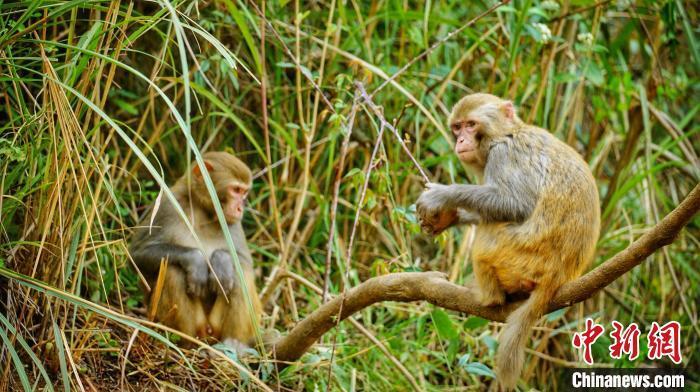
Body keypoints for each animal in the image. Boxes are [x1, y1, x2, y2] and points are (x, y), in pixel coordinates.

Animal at [130, 152, 262, 350]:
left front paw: (221, 261)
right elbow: (136, 255)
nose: (241, 208)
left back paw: (232, 344)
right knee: (173, 271)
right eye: (236, 190)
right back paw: (186, 342)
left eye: (244, 192)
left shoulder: (232, 222)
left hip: (217, 328)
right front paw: (195, 260)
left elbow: (245, 261)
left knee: (240, 275)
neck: (203, 212)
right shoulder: (167, 205)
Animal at [416, 93, 600, 388]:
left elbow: (515, 205)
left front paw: (443, 194)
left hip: (516, 257)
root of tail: (558, 276)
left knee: (487, 237)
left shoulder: (504, 154)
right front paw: (448, 218)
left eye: (471, 125)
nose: (460, 141)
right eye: (457, 127)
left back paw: (488, 297)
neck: (507, 132)